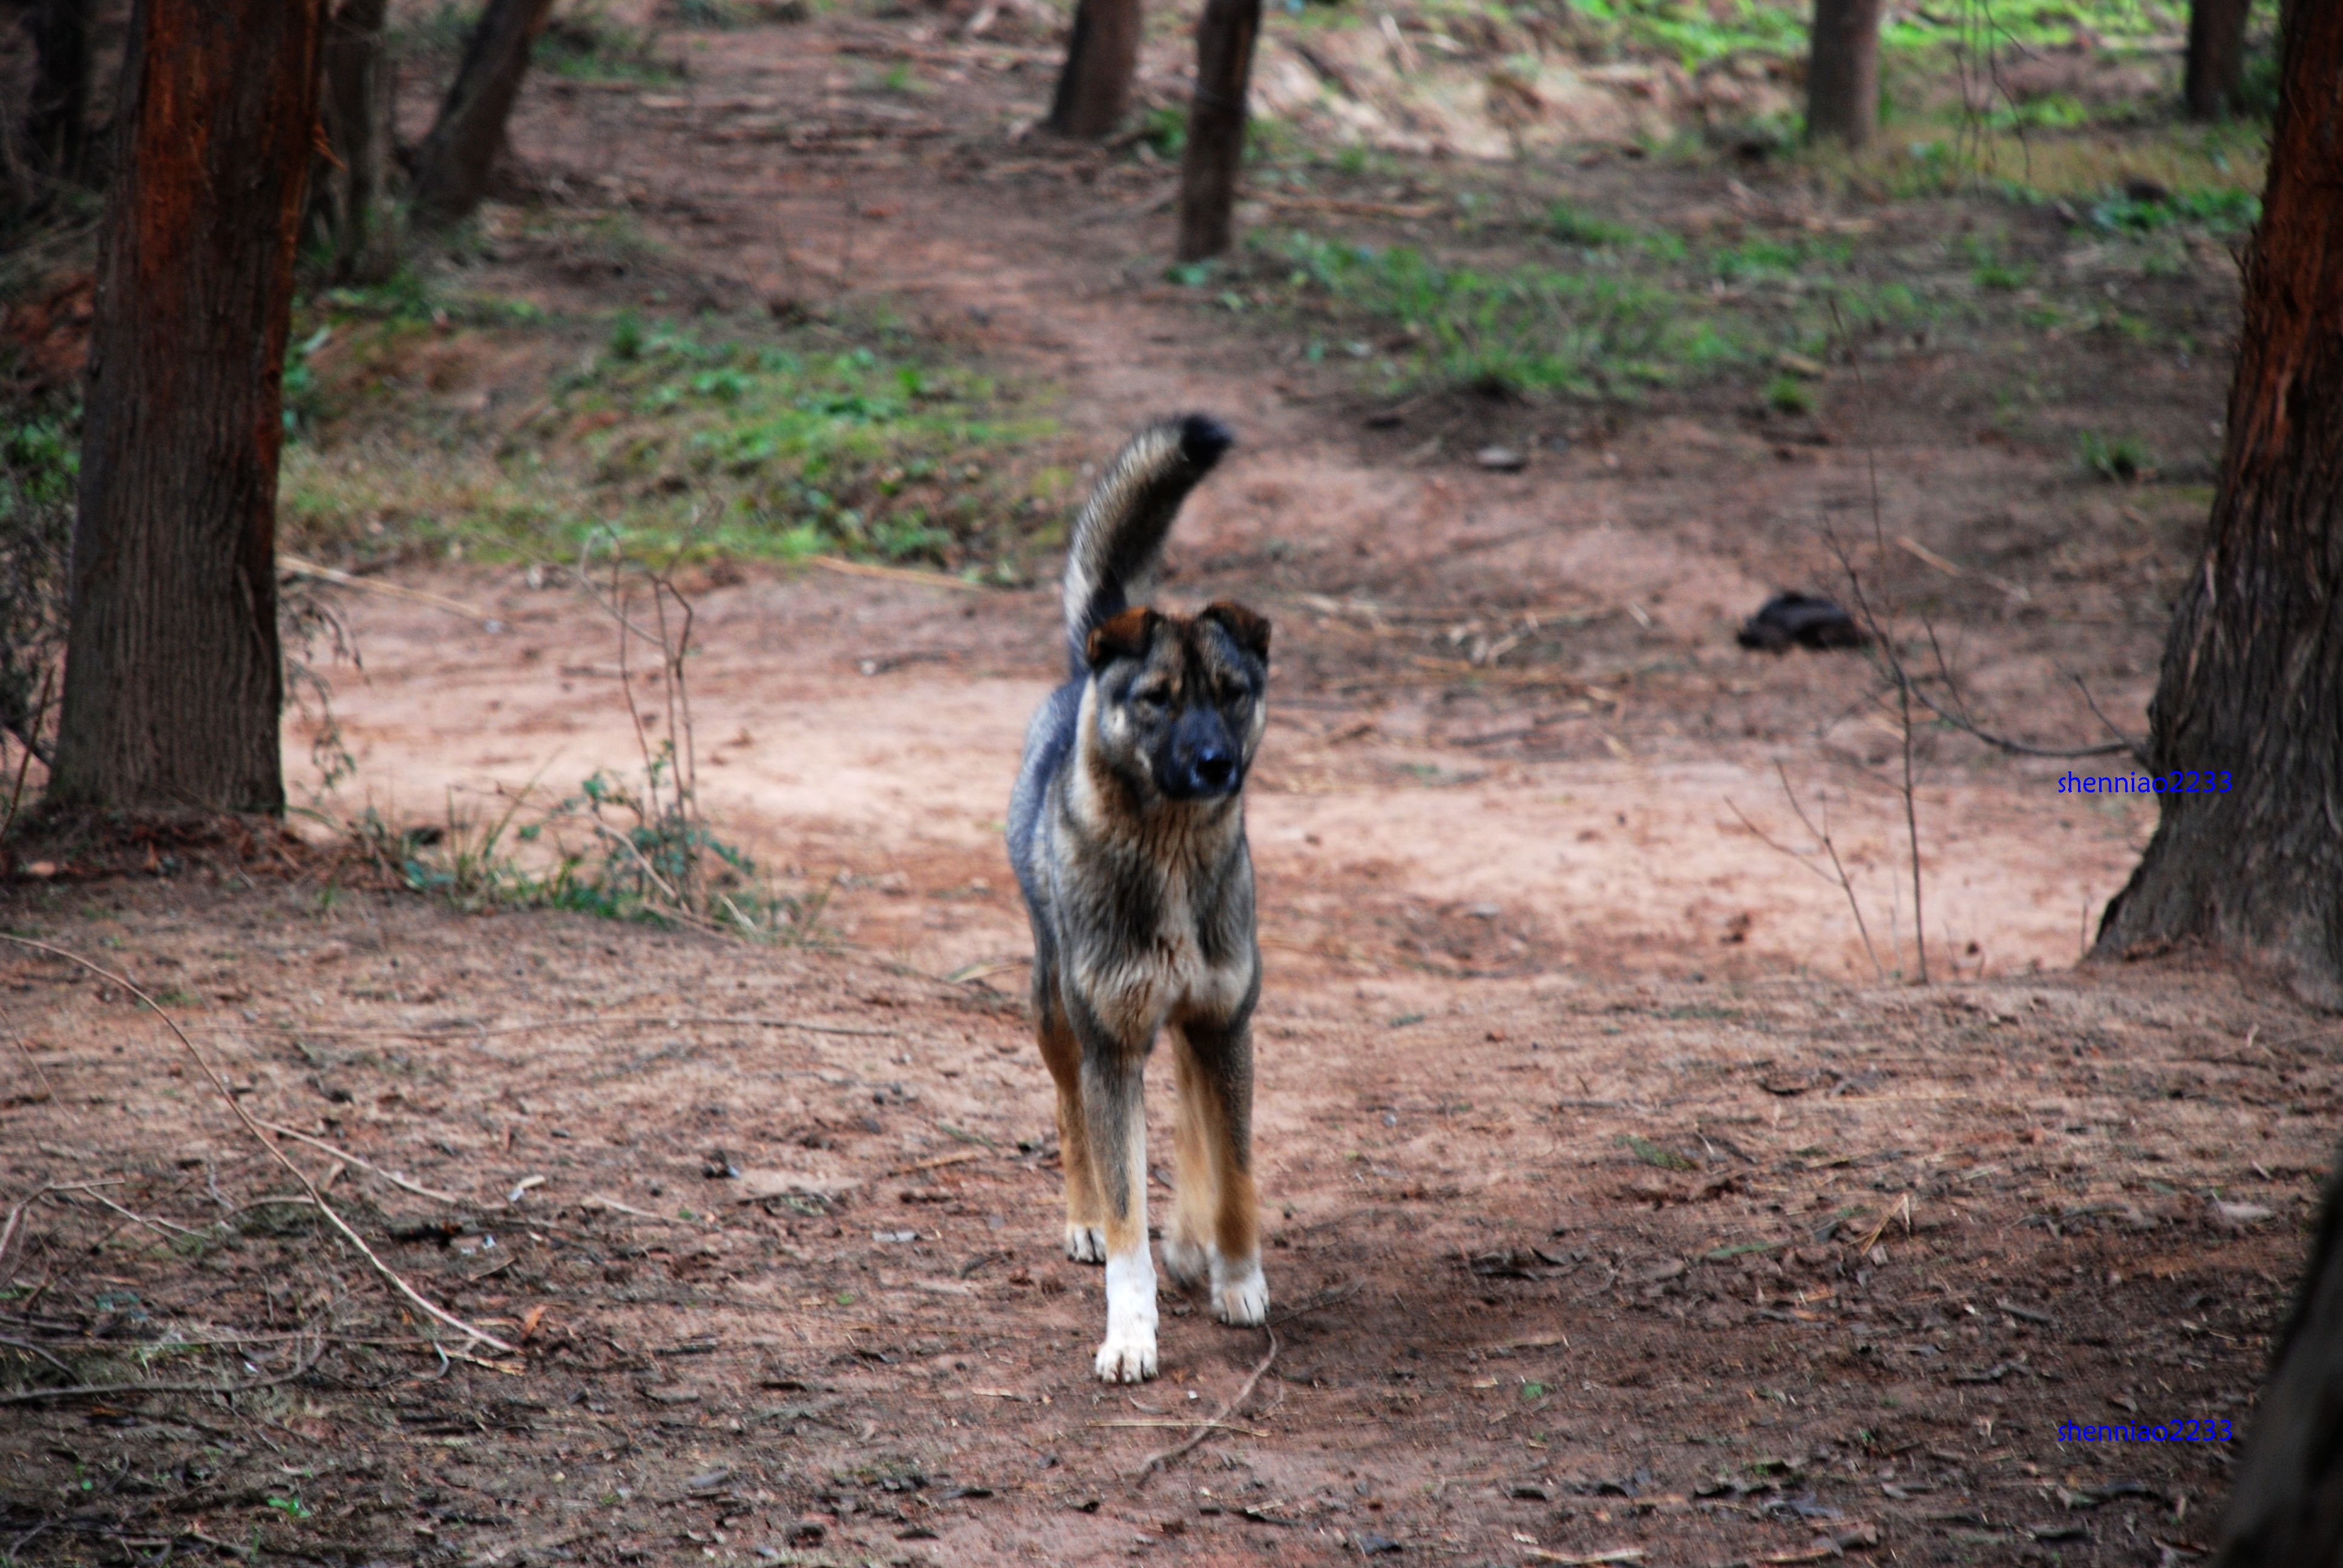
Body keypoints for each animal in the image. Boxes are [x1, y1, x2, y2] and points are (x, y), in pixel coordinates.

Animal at [1003, 410, 1274, 1378]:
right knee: (1070, 1113)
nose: (1216, 765)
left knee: (1193, 1126)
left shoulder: (1224, 1025)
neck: (1169, 859)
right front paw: (1129, 1333)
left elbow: (1232, 1175)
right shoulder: (1112, 1049)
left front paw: (1235, 1277)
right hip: (1056, 1006)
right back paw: (1083, 1217)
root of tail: (1082, 659)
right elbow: (1127, 1224)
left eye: (1231, 694)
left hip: (1195, 1033)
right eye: (1157, 699)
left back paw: (1193, 1242)